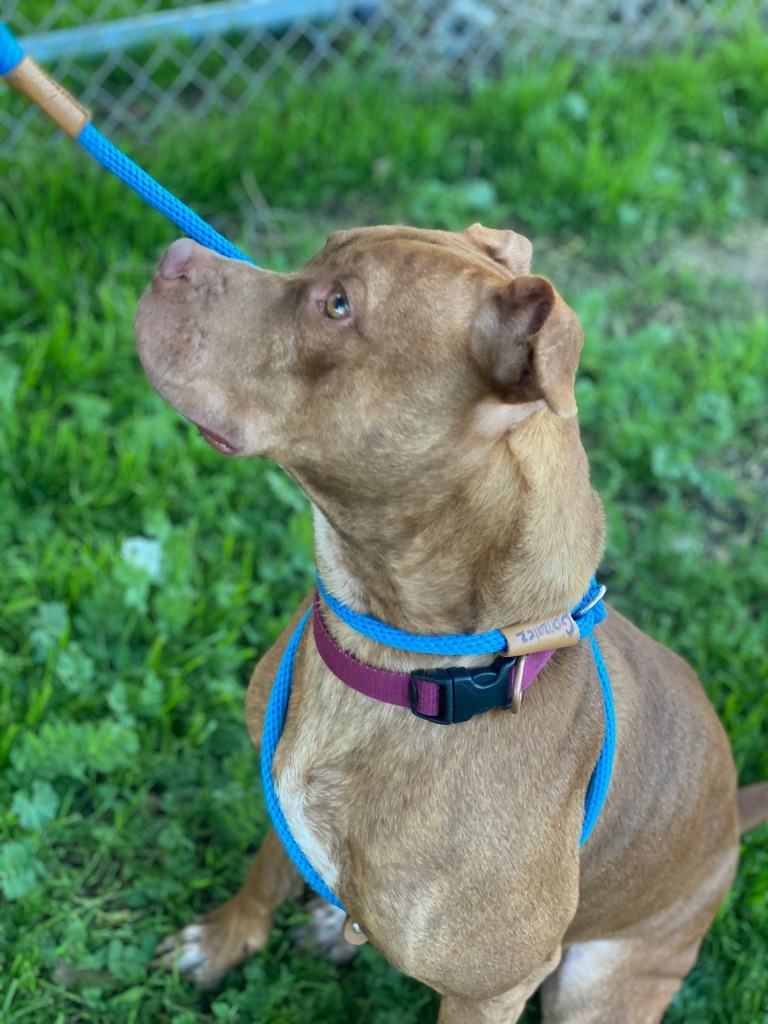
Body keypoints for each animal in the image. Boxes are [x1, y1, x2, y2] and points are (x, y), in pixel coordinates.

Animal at [135, 226, 765, 1024]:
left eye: (338, 305)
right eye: (319, 253)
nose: (175, 255)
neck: (397, 660)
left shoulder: (491, 992)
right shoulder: (278, 789)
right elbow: (266, 872)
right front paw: (220, 943)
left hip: (594, 986)